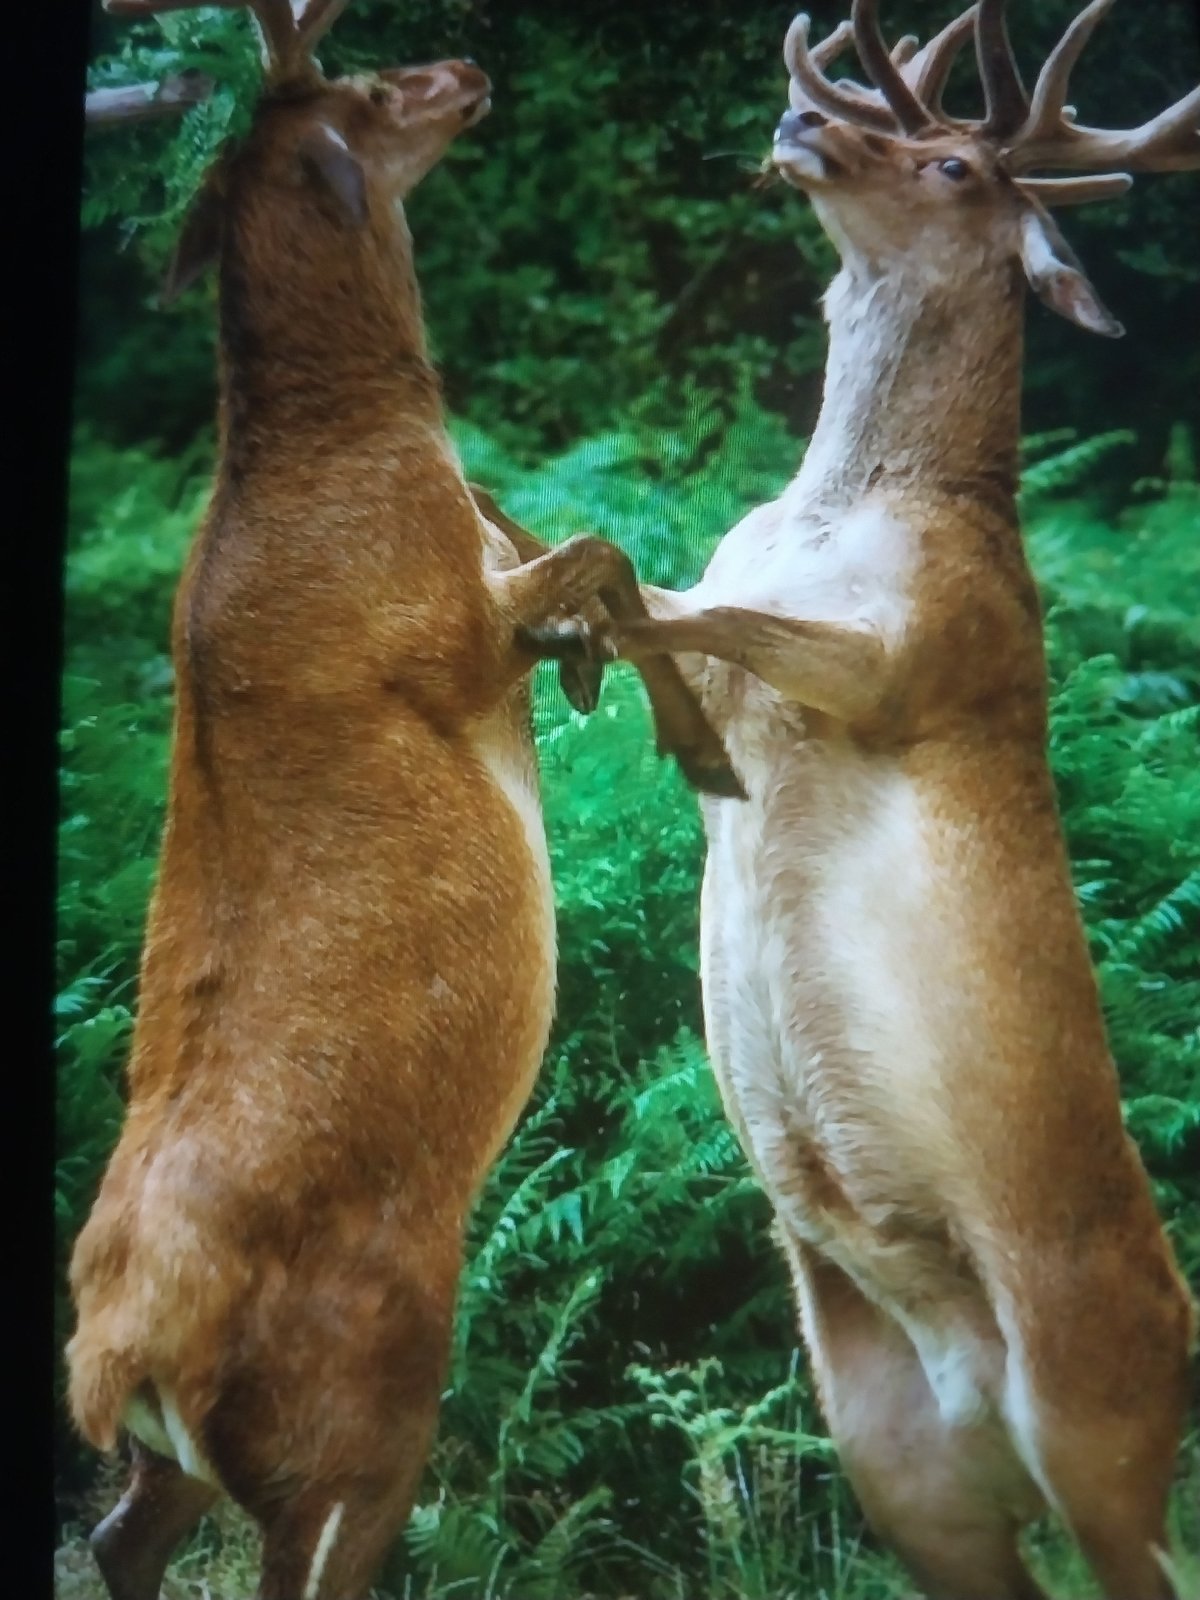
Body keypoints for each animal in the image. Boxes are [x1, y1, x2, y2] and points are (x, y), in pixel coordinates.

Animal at [66, 4, 740, 1598]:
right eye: (372, 86)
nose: (475, 67)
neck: (346, 453)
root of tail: (120, 1354)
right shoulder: (444, 632)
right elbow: (604, 547)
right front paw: (682, 736)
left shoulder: (481, 569)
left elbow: (585, 550)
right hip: (357, 1419)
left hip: (192, 1460)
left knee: (122, 1534)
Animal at [572, 3, 1199, 1596]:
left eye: (955, 162)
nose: (803, 123)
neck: (836, 509)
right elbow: (645, 583)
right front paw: (645, 710)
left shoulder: (924, 656)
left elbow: (700, 609)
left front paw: (677, 725)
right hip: (898, 1466)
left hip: (1101, 1417)